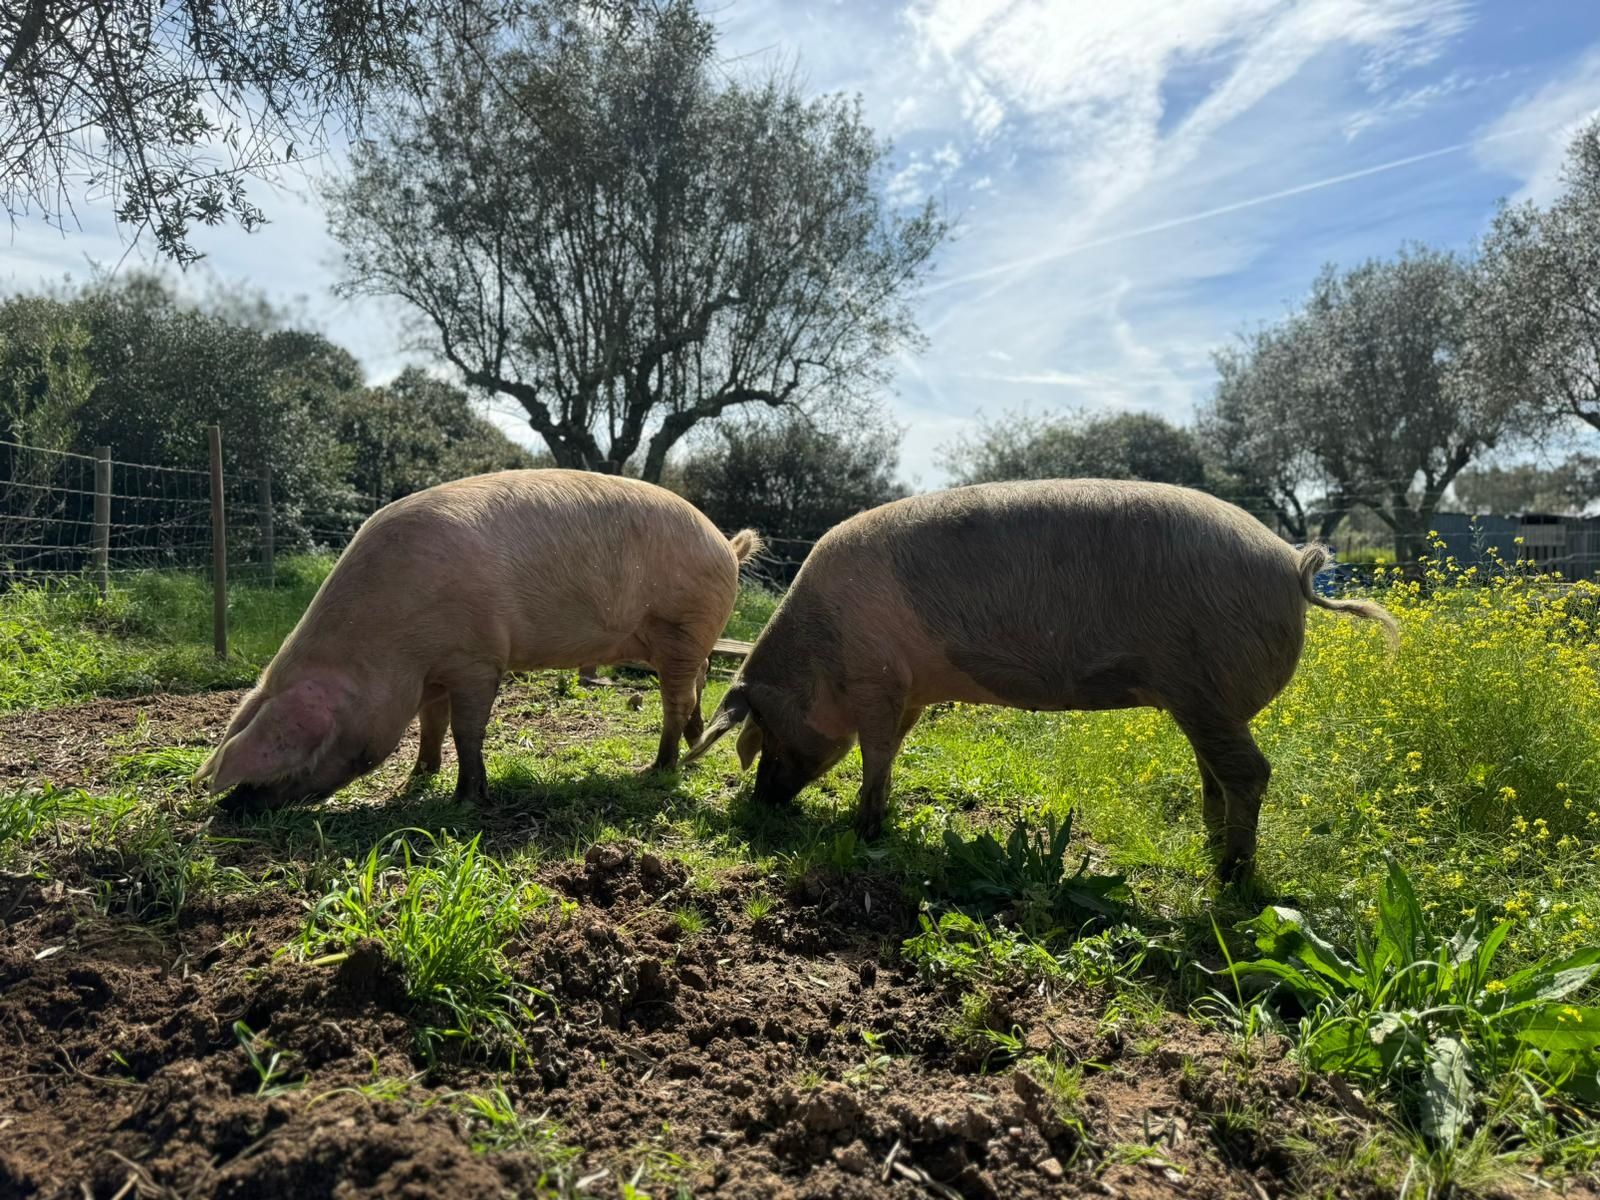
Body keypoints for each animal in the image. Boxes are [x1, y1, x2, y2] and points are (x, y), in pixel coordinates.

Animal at [688, 480, 1401, 883]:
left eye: (763, 728)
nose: (762, 801)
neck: (824, 650)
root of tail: (1291, 562)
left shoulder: (878, 682)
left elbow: (876, 755)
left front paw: (862, 832)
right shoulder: (908, 691)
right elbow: (889, 757)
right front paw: (873, 822)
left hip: (1207, 692)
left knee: (1251, 773)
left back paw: (1229, 877)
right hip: (1207, 704)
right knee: (1218, 775)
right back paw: (1208, 850)